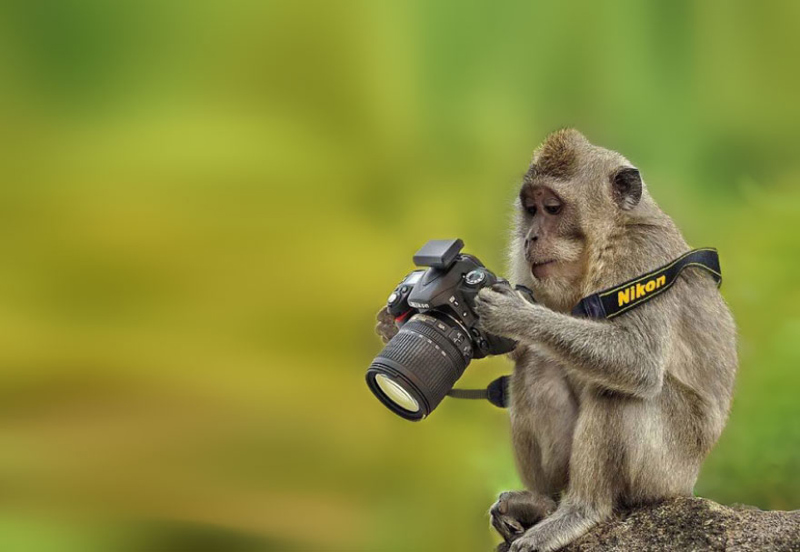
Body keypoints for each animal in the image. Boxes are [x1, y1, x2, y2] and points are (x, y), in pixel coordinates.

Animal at [469, 129, 738, 552]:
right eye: (531, 208)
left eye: (553, 208)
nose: (531, 237)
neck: (607, 239)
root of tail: (688, 485)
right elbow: (521, 353)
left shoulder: (642, 258)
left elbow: (638, 361)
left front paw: (517, 315)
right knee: (538, 364)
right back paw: (542, 503)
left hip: (667, 471)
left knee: (617, 391)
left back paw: (583, 509)